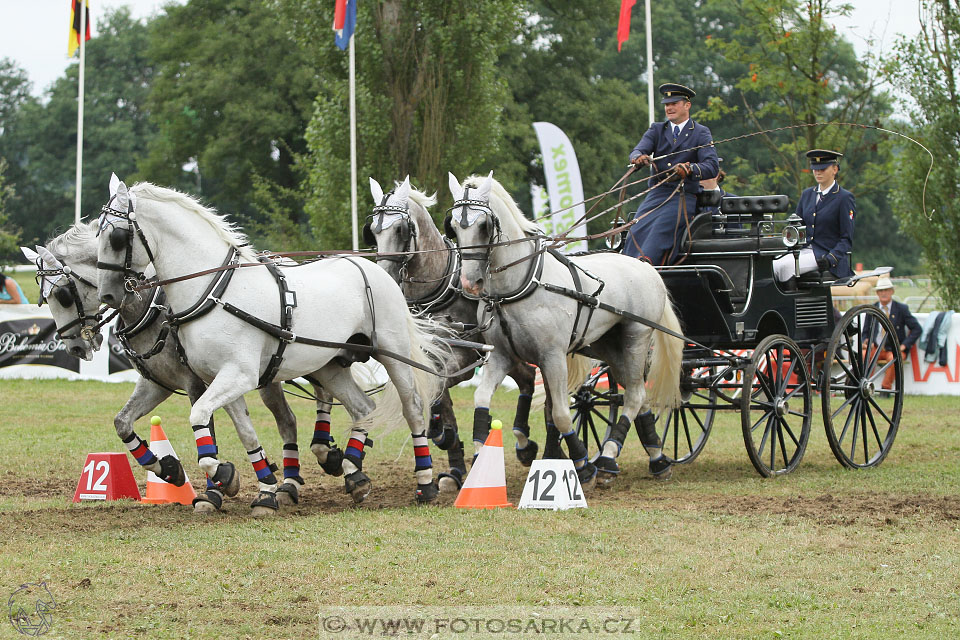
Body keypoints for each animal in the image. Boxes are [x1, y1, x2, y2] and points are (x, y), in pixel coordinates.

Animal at [23, 225, 342, 516]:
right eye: (45, 299)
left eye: (63, 295)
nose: (75, 347)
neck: (152, 305)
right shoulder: (157, 383)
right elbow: (122, 422)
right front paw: (168, 469)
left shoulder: (196, 382)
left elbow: (207, 433)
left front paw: (216, 488)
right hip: (270, 375)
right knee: (288, 419)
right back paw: (290, 483)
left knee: (322, 393)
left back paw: (327, 454)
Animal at [94, 178, 450, 502]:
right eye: (97, 233)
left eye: (116, 236)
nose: (107, 295)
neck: (213, 291)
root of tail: (373, 268)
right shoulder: (216, 378)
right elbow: (245, 432)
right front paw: (261, 489)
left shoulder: (238, 375)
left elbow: (198, 418)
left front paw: (223, 474)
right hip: (329, 365)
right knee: (363, 408)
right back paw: (353, 474)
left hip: (393, 352)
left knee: (413, 408)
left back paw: (426, 483)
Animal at [448, 172, 684, 488]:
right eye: (452, 227)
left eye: (484, 225)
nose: (469, 282)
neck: (519, 285)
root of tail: (646, 266)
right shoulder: (500, 357)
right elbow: (482, 400)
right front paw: (479, 460)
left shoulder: (552, 357)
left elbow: (560, 413)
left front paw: (583, 464)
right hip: (608, 347)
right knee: (639, 395)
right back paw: (657, 458)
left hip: (635, 338)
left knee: (634, 395)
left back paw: (607, 458)